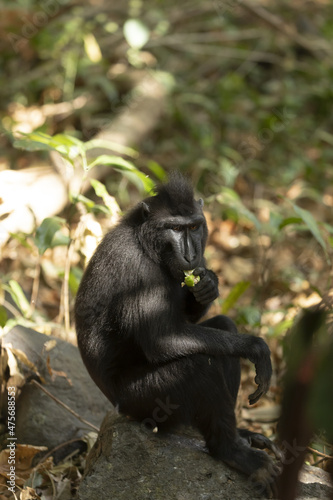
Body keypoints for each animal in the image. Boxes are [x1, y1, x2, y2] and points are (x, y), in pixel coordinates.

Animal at [75, 174, 280, 494]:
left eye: (194, 227)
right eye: (174, 228)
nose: (191, 254)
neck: (146, 244)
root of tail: (117, 407)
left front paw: (209, 285)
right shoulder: (138, 270)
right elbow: (162, 341)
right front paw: (256, 347)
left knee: (224, 329)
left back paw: (240, 435)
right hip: (142, 403)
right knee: (198, 366)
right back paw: (230, 451)